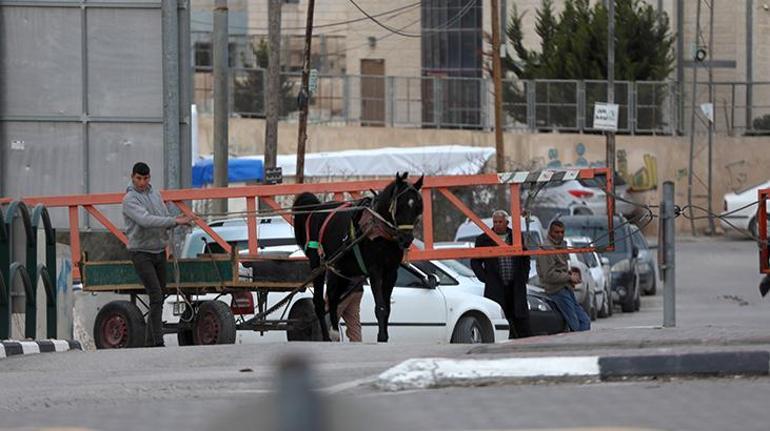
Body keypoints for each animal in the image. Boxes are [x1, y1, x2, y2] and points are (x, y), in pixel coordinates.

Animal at [292, 173, 424, 344]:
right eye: (400, 205)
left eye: (417, 207)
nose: (406, 239)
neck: (377, 227)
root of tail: (315, 209)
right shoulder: (375, 270)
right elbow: (380, 307)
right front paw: (381, 337)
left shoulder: (391, 272)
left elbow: (387, 307)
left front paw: (385, 336)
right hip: (318, 265)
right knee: (320, 303)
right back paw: (327, 337)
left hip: (342, 270)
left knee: (333, 297)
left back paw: (334, 332)